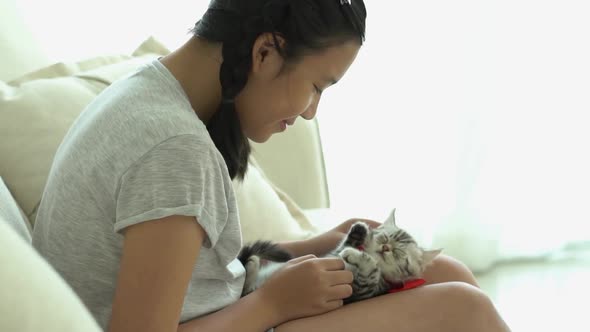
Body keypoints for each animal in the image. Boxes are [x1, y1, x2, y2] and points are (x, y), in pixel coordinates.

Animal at [238, 210, 442, 304]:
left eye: (399, 253)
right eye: (385, 238)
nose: (385, 248)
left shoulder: (360, 292)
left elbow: (371, 270)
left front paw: (360, 257)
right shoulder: (332, 254)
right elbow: (345, 244)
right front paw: (359, 230)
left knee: (247, 292)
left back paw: (251, 265)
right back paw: (251, 264)